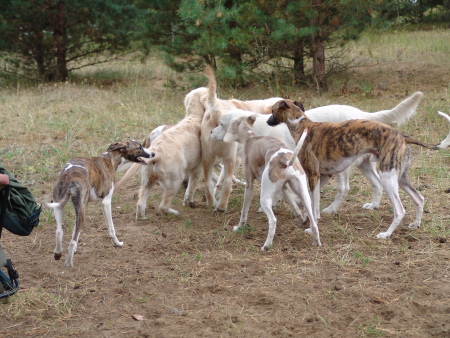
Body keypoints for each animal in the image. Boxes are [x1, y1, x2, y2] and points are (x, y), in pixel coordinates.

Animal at [222, 115, 320, 250]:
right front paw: (300, 218)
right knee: (313, 221)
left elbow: (244, 211)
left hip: (264, 198)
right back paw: (316, 242)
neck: (251, 137)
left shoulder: (249, 185)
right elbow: (293, 204)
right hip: (304, 195)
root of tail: (284, 160)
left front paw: (239, 227)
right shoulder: (283, 187)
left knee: (273, 220)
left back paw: (267, 245)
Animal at [268, 99, 450, 239]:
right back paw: (416, 223)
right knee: (419, 198)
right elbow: (312, 202)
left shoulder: (313, 175)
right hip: (400, 178)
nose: (268, 122)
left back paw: (386, 234)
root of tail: (401, 136)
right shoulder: (324, 175)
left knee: (400, 210)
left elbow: (314, 205)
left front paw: (311, 226)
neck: (303, 125)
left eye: (272, 110)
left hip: (387, 178)